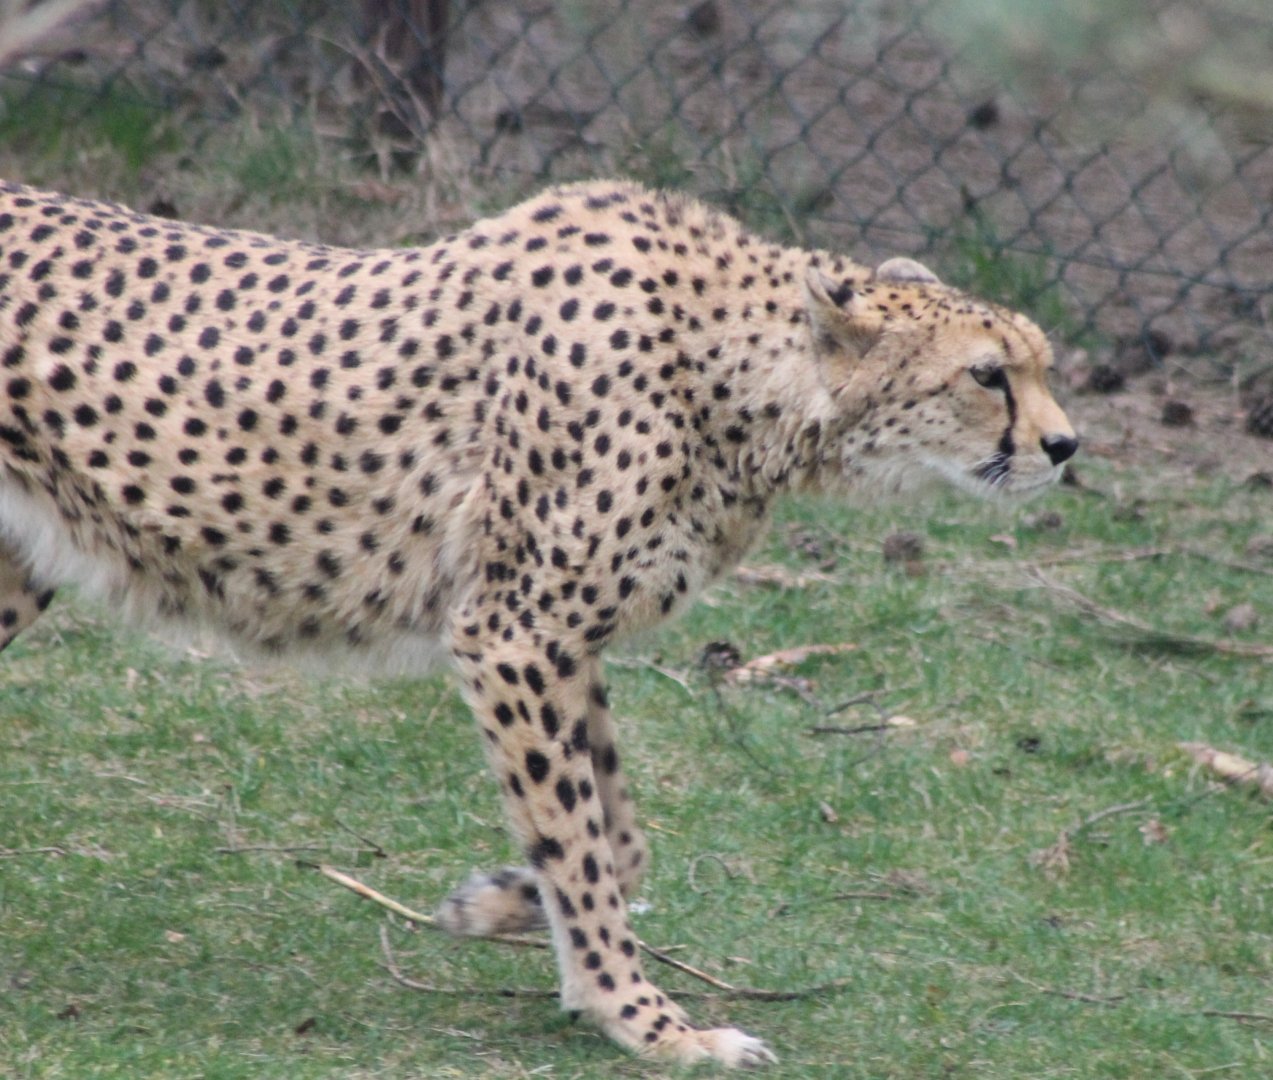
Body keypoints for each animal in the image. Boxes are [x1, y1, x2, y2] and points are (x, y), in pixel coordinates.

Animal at [0, 176, 1076, 1067]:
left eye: (1038, 364)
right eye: (986, 375)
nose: (1066, 446)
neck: (735, 380)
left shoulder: (560, 636)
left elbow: (610, 837)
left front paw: (497, 906)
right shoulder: (514, 632)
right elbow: (581, 842)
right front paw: (649, 1024)